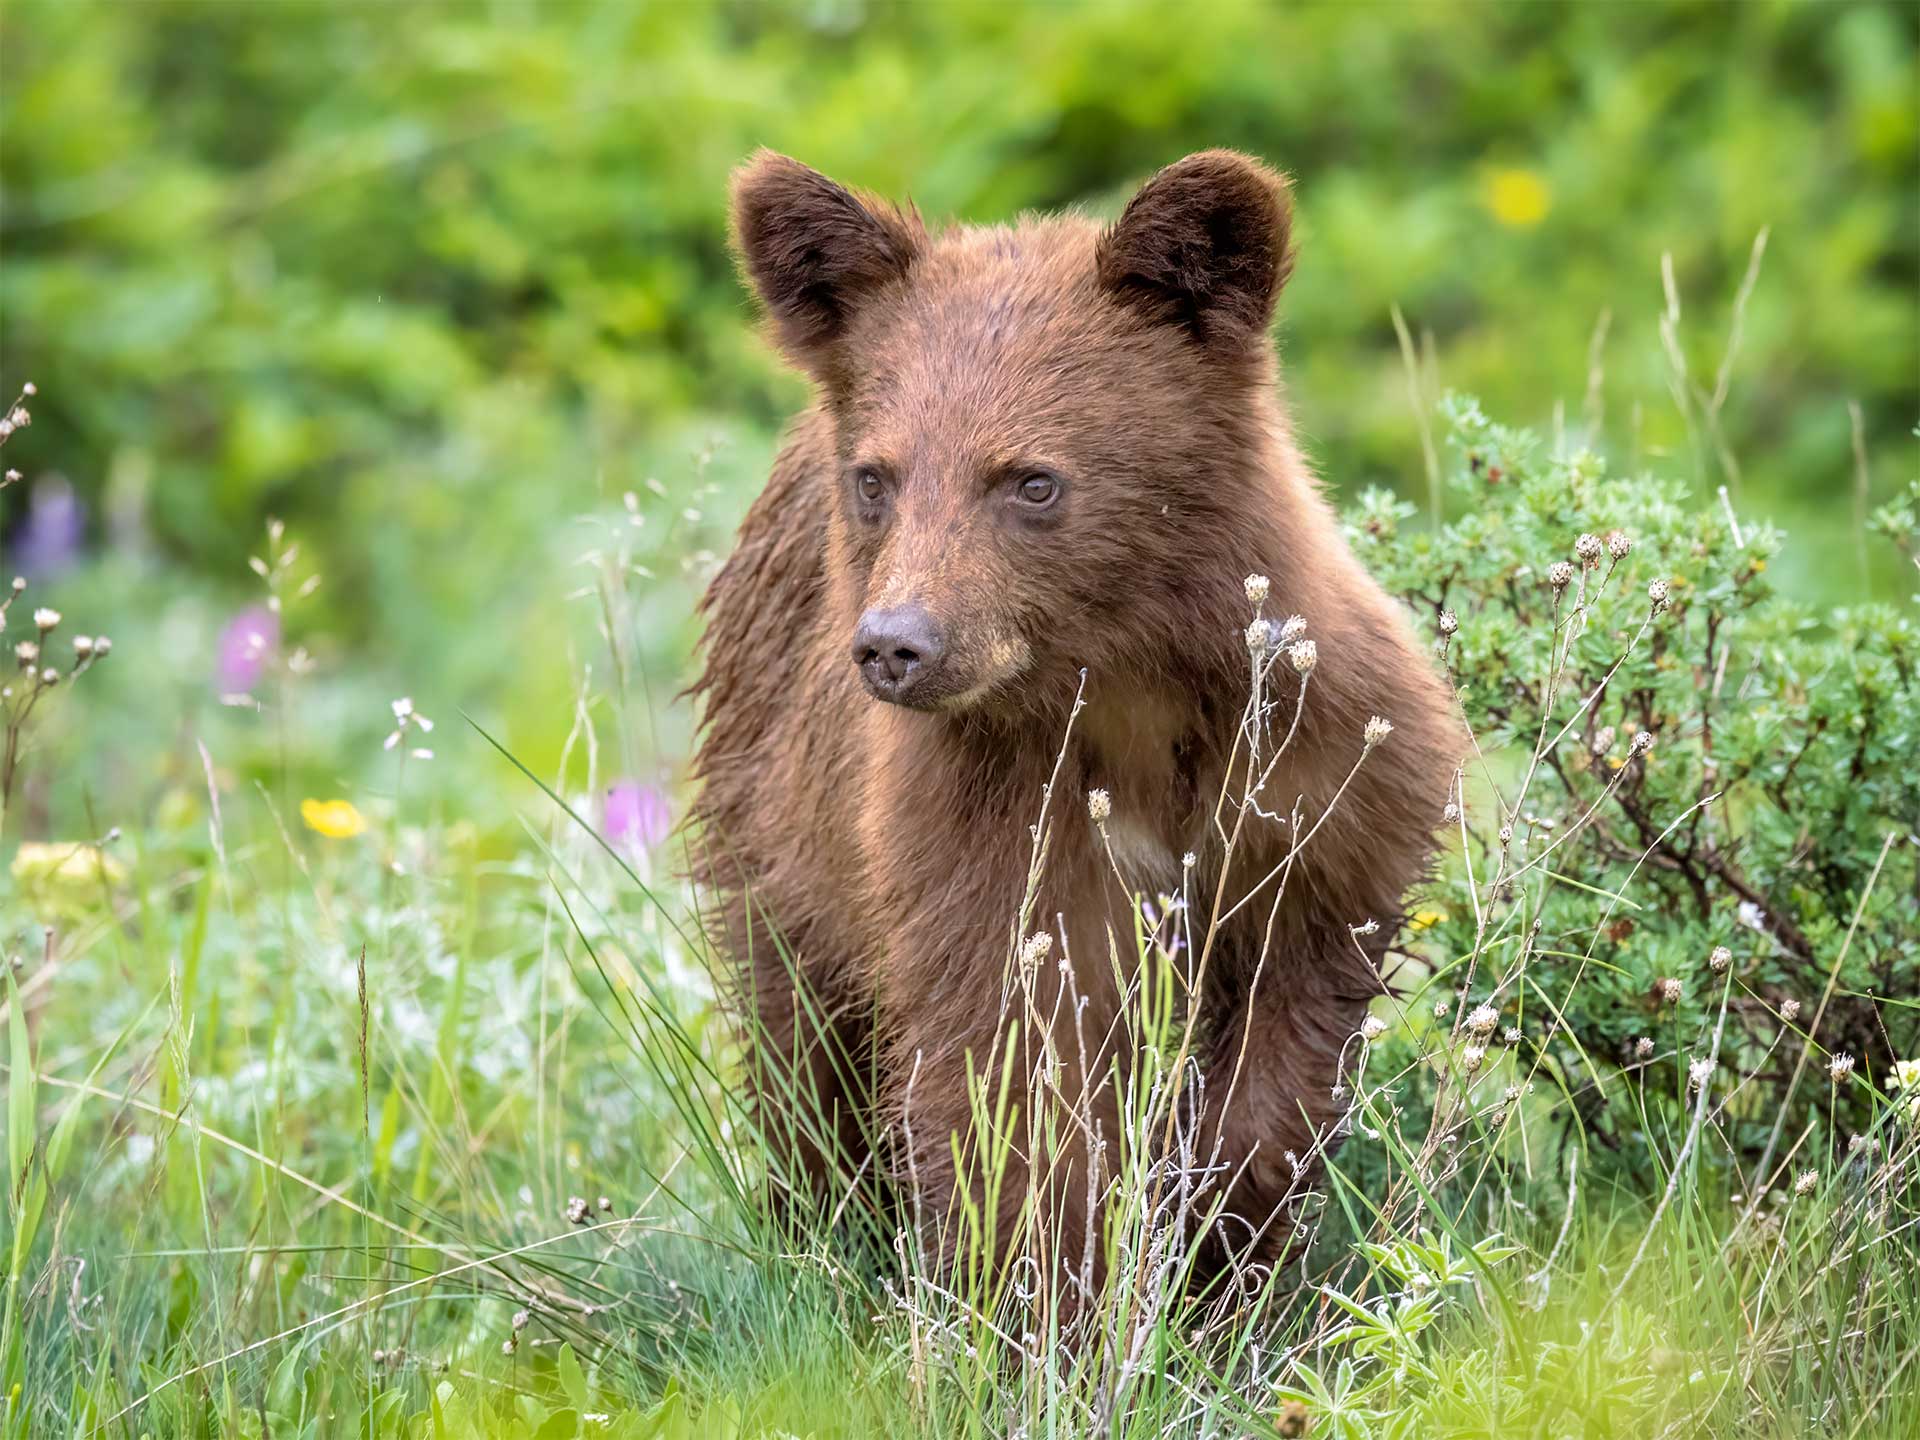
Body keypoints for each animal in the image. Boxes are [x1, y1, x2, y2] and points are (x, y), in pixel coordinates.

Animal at [691, 149, 1460, 1288]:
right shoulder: (986, 814)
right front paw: (1045, 1296)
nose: (896, 644)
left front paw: (1223, 1255)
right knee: (806, 1044)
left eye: (1032, 480)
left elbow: (1288, 1046)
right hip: (779, 812)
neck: (1132, 684)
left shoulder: (1317, 796)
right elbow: (1011, 1069)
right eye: (877, 478)